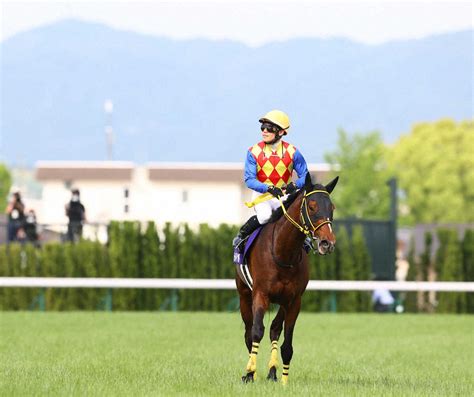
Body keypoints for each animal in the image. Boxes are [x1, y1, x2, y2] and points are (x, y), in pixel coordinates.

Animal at [236, 173, 338, 384]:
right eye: (312, 206)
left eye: (332, 207)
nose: (327, 243)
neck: (283, 252)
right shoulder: (260, 294)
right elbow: (256, 331)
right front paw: (250, 372)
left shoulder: (294, 300)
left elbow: (287, 342)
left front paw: (283, 379)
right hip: (244, 295)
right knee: (249, 332)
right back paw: (251, 373)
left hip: (282, 302)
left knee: (275, 329)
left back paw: (272, 372)